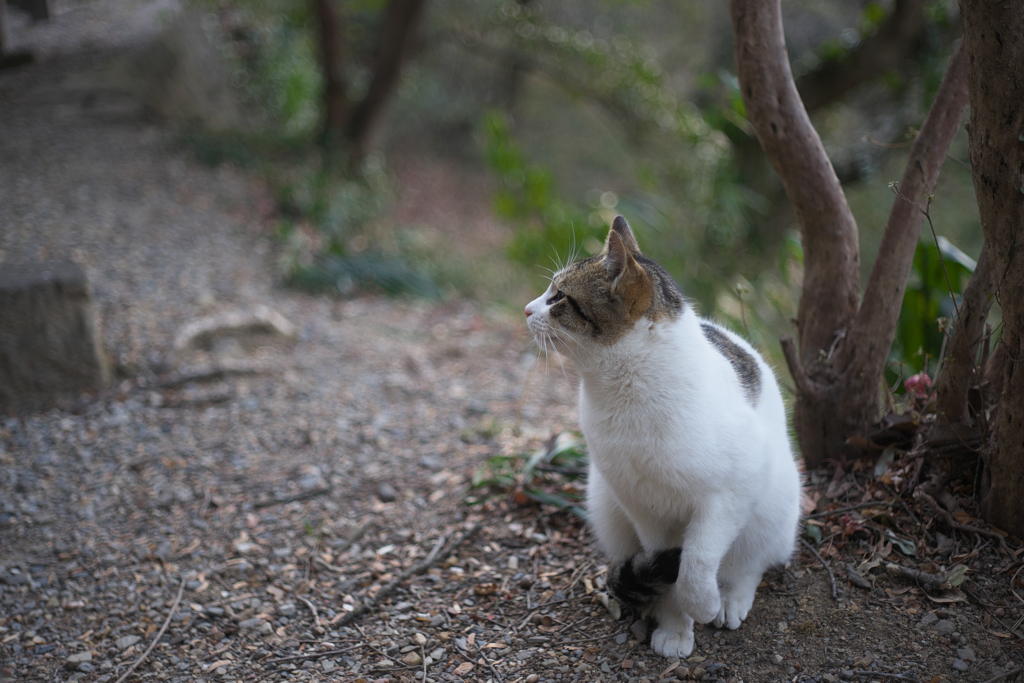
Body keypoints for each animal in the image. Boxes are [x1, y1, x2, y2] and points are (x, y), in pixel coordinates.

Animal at [524, 216, 802, 659]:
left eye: (560, 297)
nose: (528, 309)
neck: (626, 395)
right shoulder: (643, 506)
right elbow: (669, 569)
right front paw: (674, 623)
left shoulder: (729, 496)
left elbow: (696, 563)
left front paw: (702, 604)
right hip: (605, 504)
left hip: (774, 502)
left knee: (750, 562)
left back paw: (730, 598)